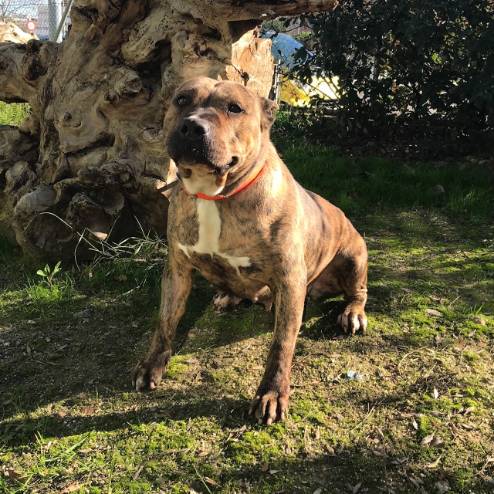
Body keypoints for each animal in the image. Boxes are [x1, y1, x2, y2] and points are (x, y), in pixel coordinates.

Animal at [133, 77, 368, 425]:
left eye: (234, 108)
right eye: (182, 99)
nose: (192, 126)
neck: (214, 194)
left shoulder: (288, 280)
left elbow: (281, 344)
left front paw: (271, 394)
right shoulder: (177, 267)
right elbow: (165, 321)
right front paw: (151, 365)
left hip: (353, 255)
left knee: (358, 292)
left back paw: (352, 314)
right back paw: (228, 296)